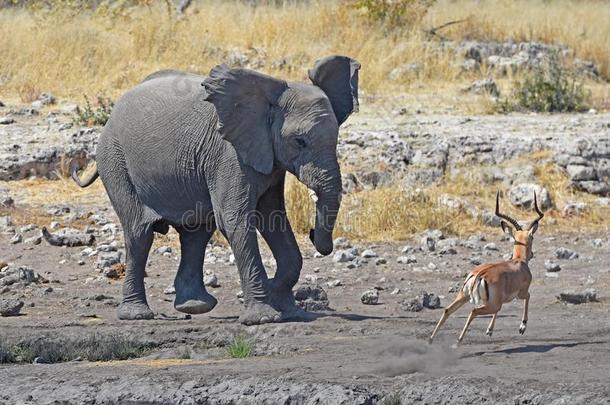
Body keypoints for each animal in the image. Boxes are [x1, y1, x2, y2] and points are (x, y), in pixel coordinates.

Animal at [72, 54, 358, 326]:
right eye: (299, 141)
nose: (311, 233)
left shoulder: (267, 158)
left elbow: (273, 220)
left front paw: (291, 311)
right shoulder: (229, 154)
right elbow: (235, 220)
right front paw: (264, 317)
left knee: (196, 233)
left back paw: (195, 307)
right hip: (115, 159)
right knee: (140, 234)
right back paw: (137, 315)